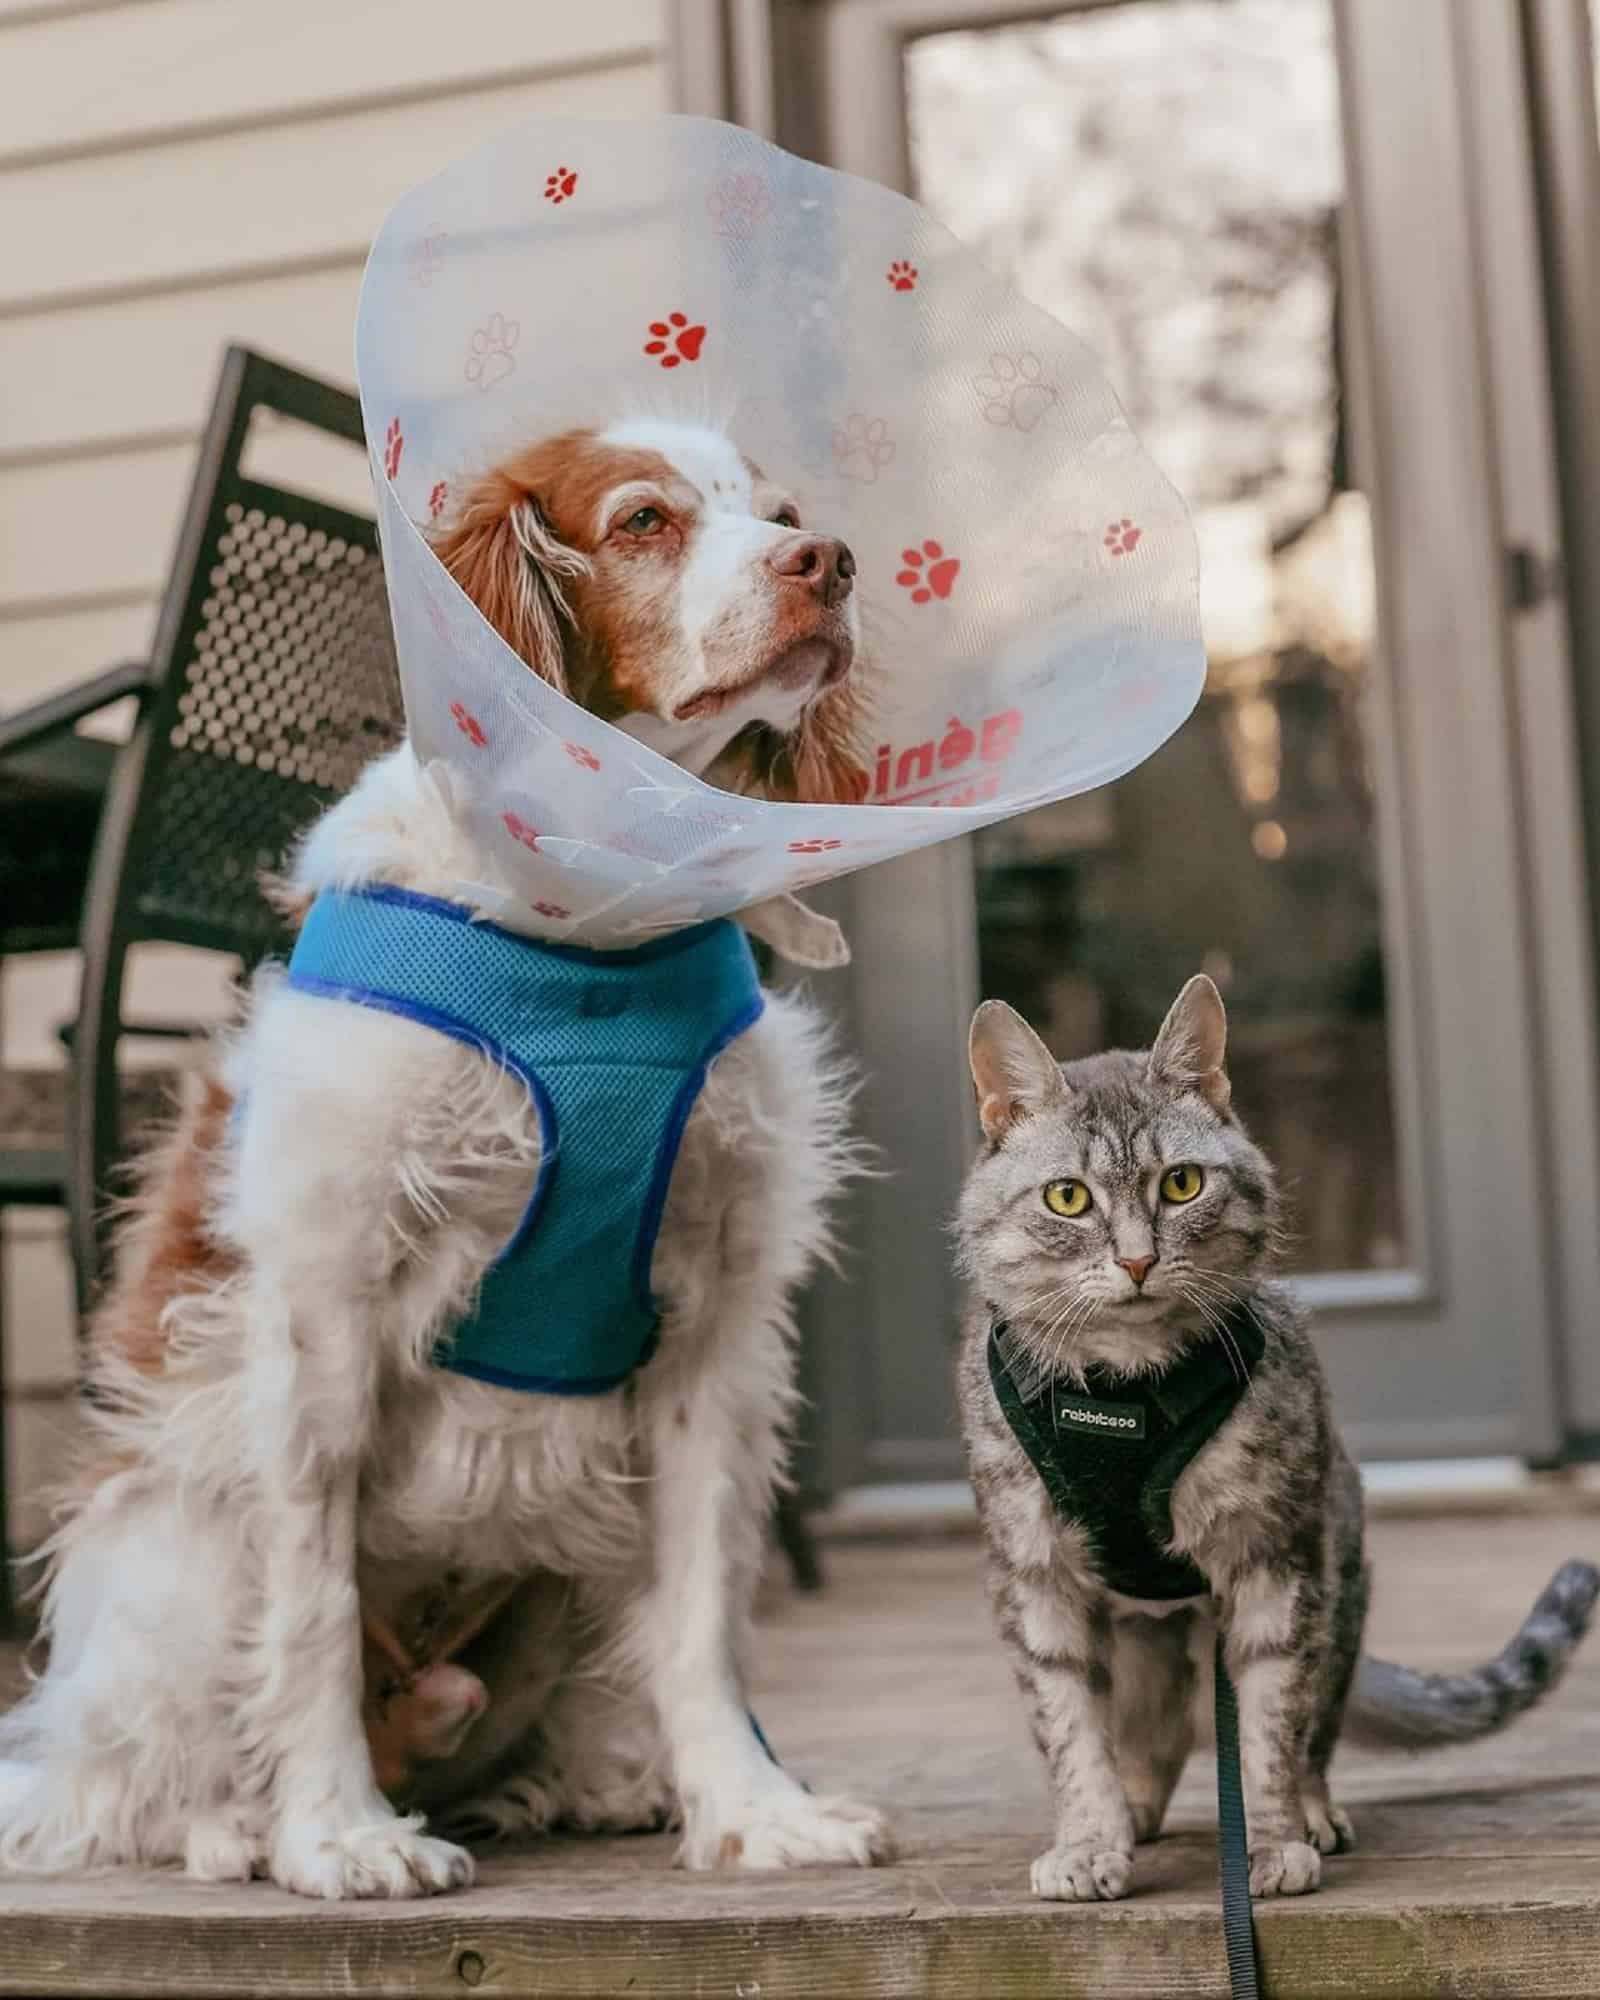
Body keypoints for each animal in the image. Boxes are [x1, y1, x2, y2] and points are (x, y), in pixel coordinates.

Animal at [0, 418, 892, 1888]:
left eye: (780, 512)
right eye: (642, 519)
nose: (829, 561)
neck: (592, 935)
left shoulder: (714, 1332)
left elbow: (703, 1610)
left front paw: (752, 1807)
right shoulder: (321, 1310)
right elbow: (309, 1607)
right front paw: (337, 1834)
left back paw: (593, 1779)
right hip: (177, 1537)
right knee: (120, 1780)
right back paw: (240, 1825)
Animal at [956, 976, 1592, 1896]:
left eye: (1182, 1184)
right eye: (1067, 1197)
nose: (1138, 1261)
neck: (1128, 1395)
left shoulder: (1271, 1560)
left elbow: (1269, 1728)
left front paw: (1277, 1838)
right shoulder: (1035, 1577)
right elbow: (1071, 1732)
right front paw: (1086, 1844)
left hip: (1338, 1578)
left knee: (1311, 1730)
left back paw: (1316, 1812)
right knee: (1148, 1748)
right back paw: (1133, 1815)